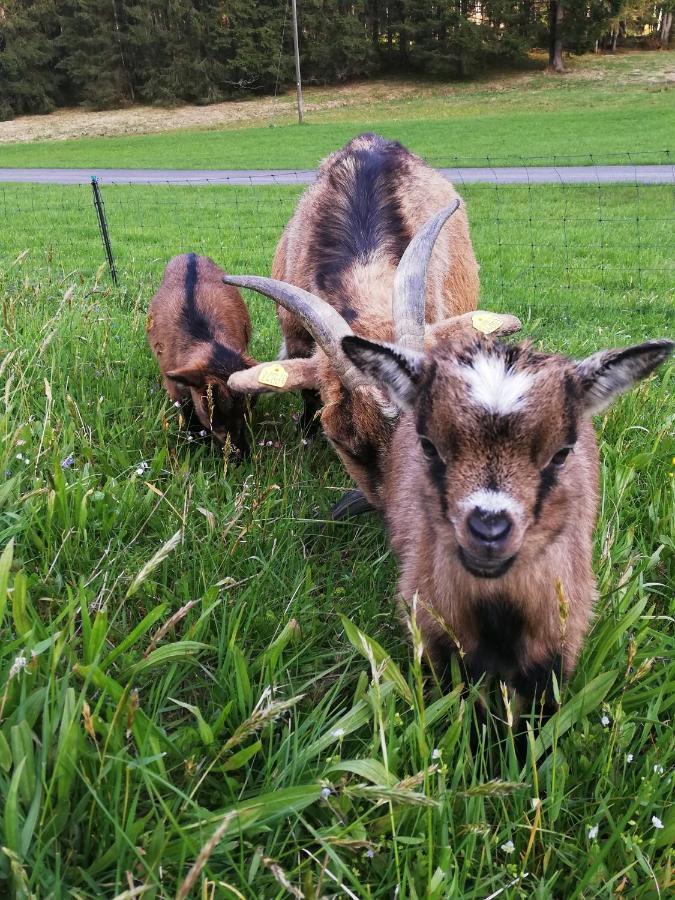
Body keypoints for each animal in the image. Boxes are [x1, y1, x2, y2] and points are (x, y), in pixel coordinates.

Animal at [148, 253, 256, 454]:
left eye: (246, 411)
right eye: (214, 417)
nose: (241, 454)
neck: (204, 336)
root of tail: (190, 254)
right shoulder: (174, 384)